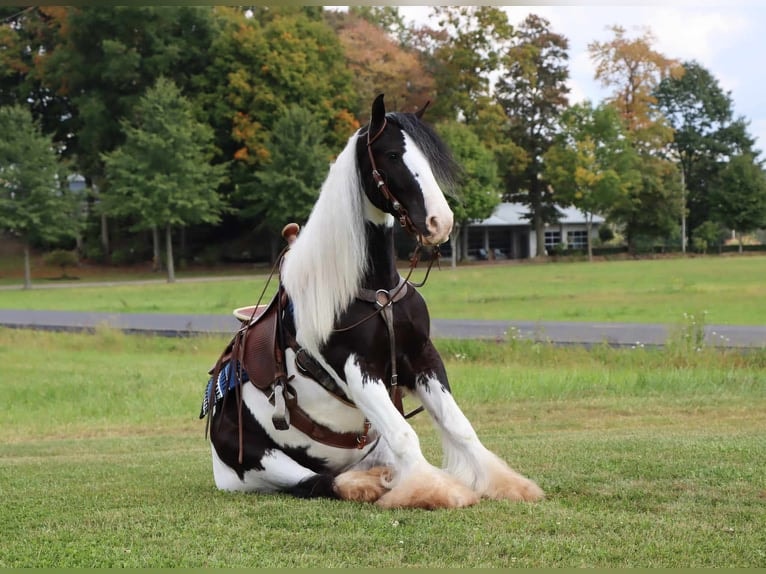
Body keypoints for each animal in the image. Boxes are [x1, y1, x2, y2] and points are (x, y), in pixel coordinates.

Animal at [201, 94, 544, 512]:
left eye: (430, 158)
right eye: (393, 155)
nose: (440, 222)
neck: (375, 292)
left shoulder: (421, 357)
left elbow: (459, 427)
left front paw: (505, 483)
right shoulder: (356, 368)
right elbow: (404, 434)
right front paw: (435, 490)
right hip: (263, 463)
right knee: (318, 481)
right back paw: (367, 485)